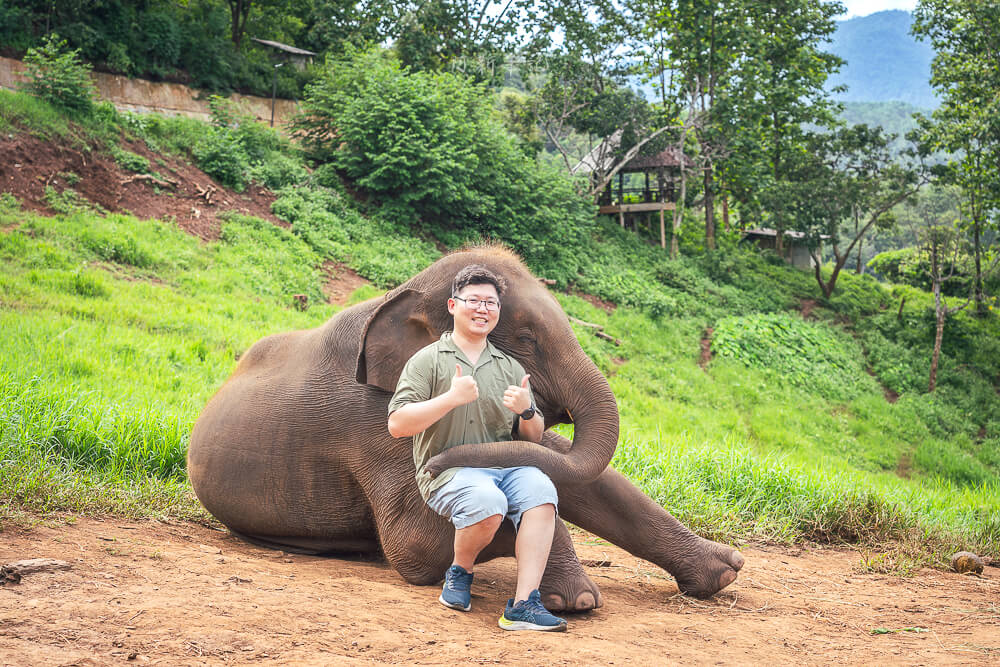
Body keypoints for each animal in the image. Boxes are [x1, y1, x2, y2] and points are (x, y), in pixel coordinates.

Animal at [187, 245, 744, 611]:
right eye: (526, 337)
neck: (401, 293)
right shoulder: (372, 420)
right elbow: (412, 545)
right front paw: (577, 600)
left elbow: (569, 471)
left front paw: (725, 573)